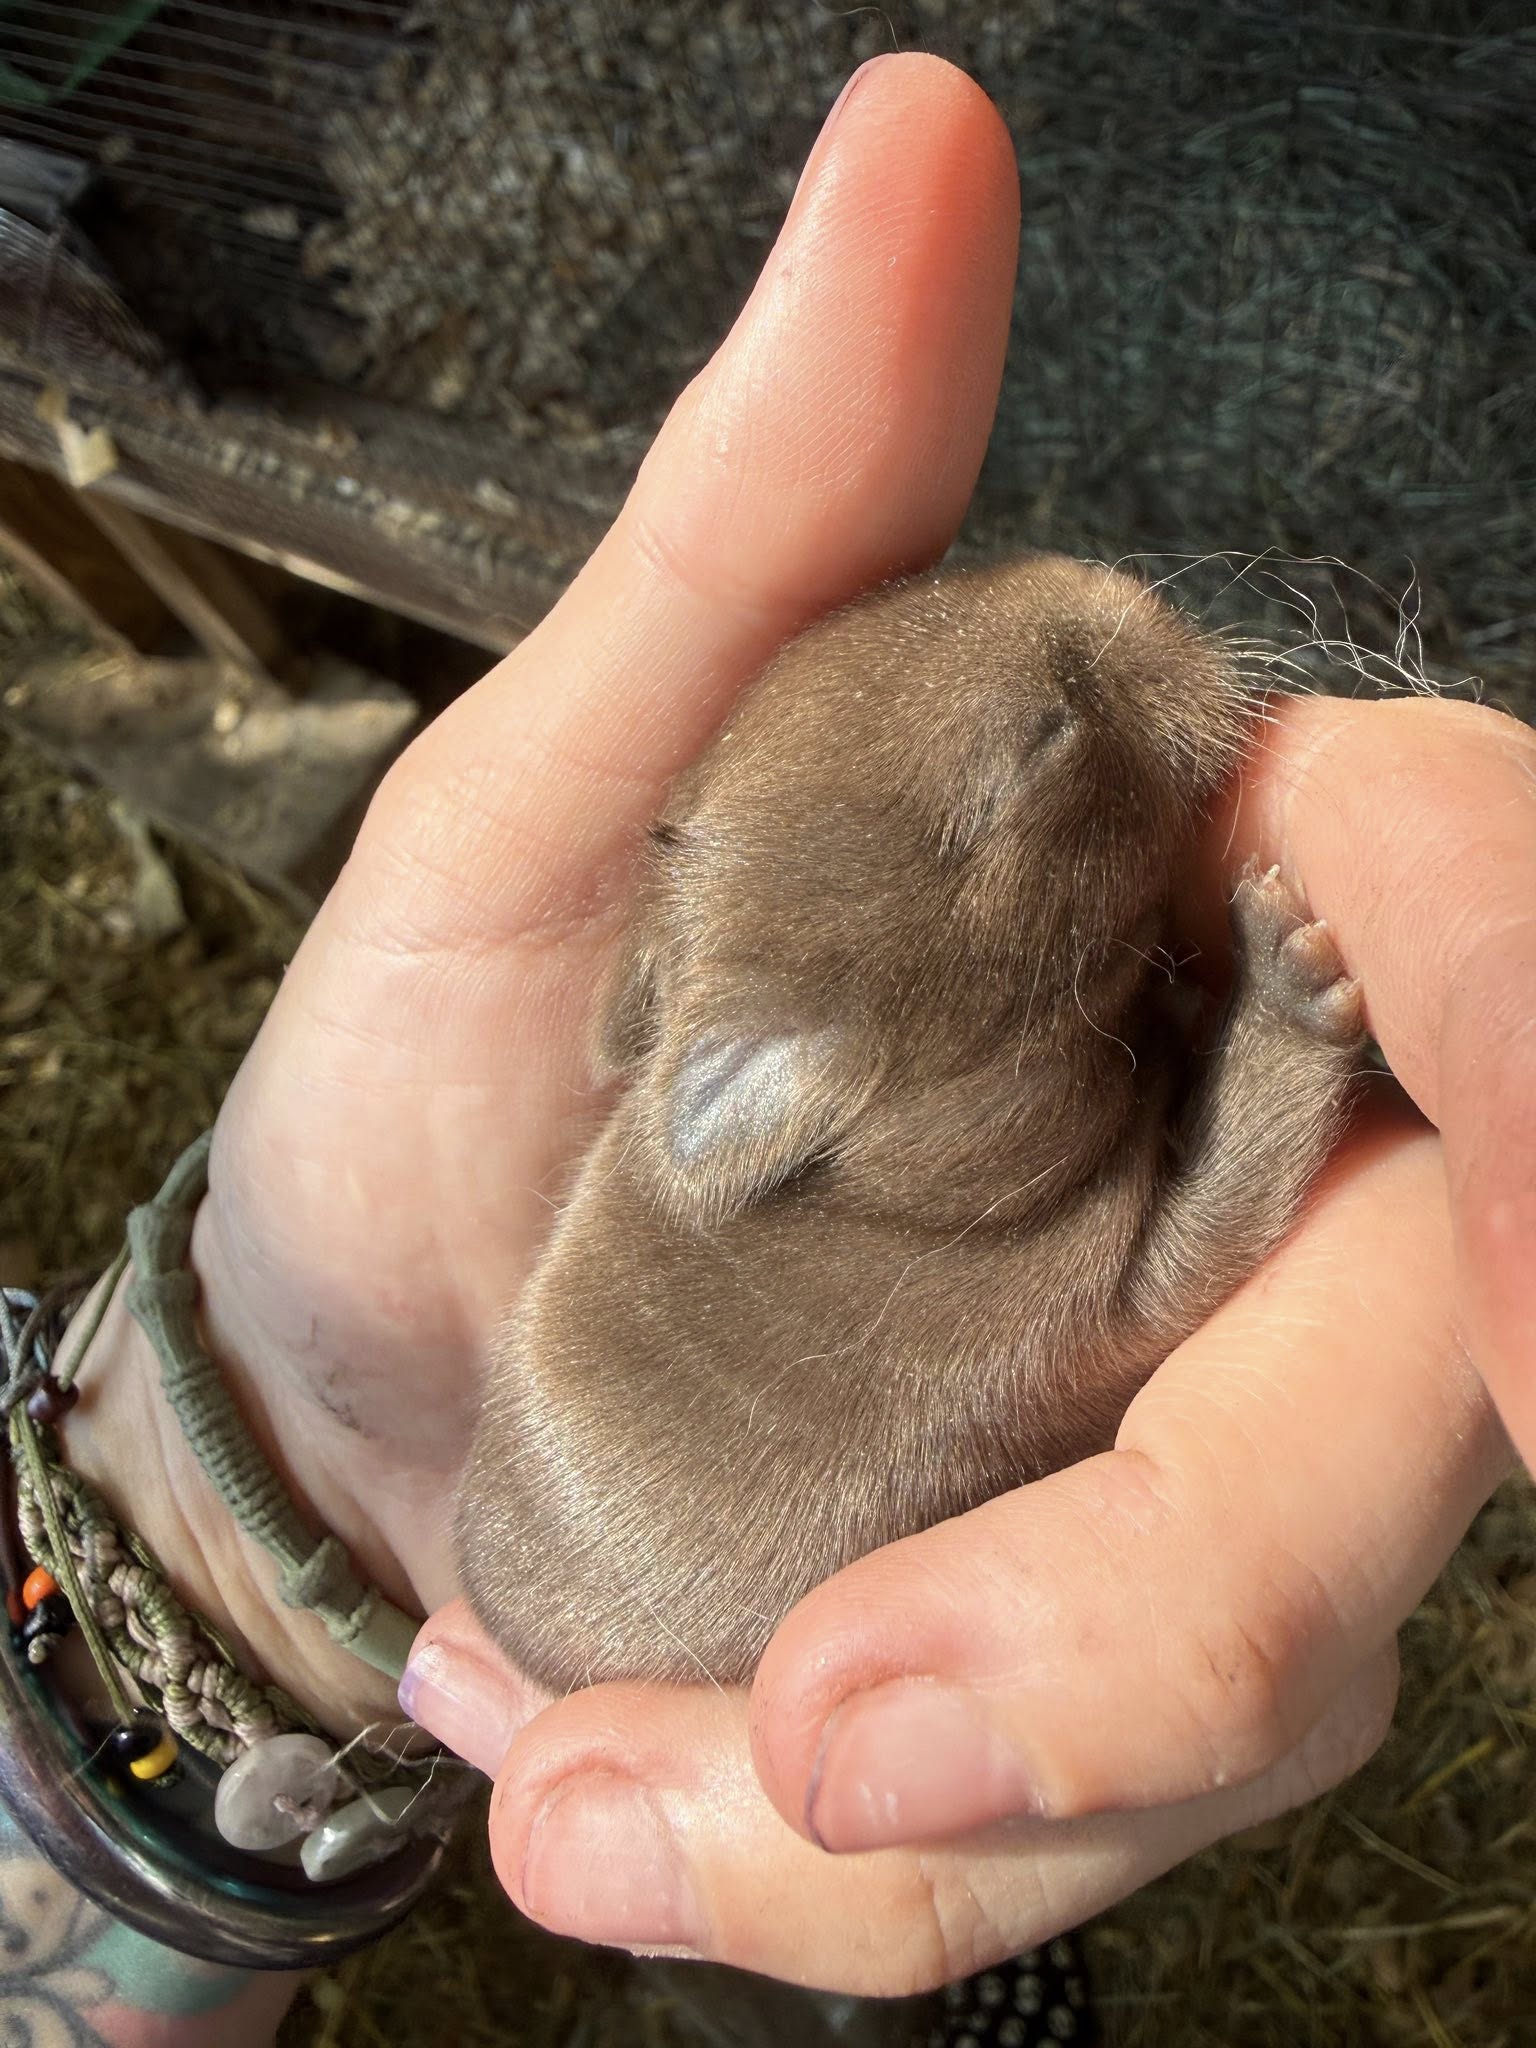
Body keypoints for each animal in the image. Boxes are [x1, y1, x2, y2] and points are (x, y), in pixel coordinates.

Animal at [456, 552, 1364, 1693]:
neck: (887, 1181)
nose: (1125, 591)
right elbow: (1220, 1211)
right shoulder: (1059, 1317)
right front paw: (1288, 973)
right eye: (1043, 736)